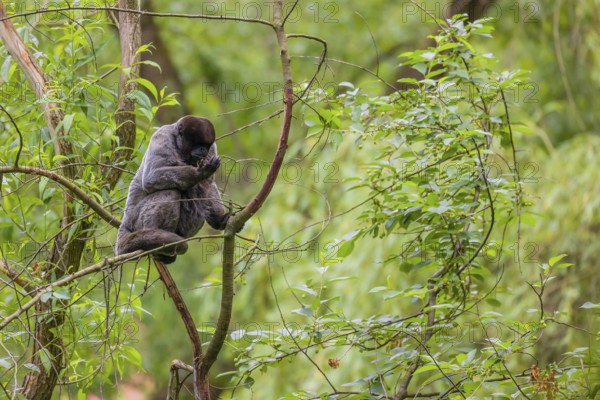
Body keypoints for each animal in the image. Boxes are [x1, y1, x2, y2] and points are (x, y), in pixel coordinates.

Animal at [116, 116, 229, 264]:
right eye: (197, 143)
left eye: (206, 145)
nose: (203, 151)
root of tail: (125, 223)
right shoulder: (162, 136)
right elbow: (151, 176)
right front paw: (199, 173)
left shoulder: (212, 149)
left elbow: (209, 185)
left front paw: (220, 220)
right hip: (135, 220)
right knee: (170, 192)